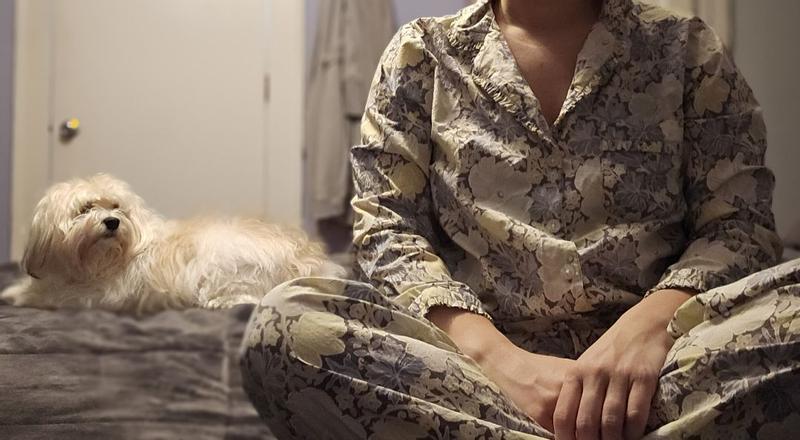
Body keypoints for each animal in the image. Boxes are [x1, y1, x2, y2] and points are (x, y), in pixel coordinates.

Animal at [0, 174, 345, 314]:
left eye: (116, 207)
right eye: (85, 209)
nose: (112, 222)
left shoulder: (93, 296)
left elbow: (45, 296)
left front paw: (17, 295)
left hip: (220, 263)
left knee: (250, 297)